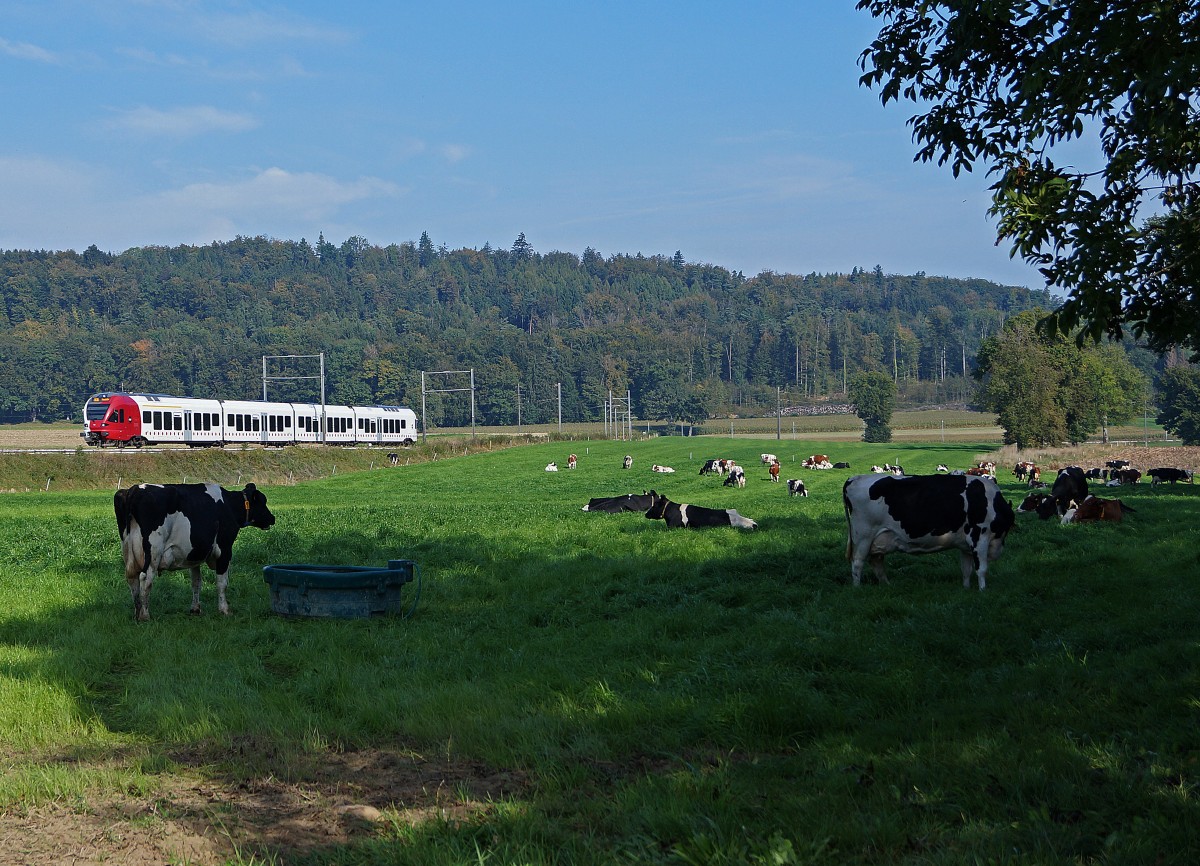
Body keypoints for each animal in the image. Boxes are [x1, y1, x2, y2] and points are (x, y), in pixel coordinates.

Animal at [114, 479, 276, 618]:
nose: (272, 518)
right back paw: (145, 615)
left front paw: (195, 609)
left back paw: (137, 612)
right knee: (145, 578)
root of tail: (134, 489)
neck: (229, 506)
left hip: (128, 550)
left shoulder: (194, 554)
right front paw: (224, 610)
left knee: (132, 577)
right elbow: (222, 583)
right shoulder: (225, 550)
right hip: (154, 551)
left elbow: (196, 582)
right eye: (263, 501)